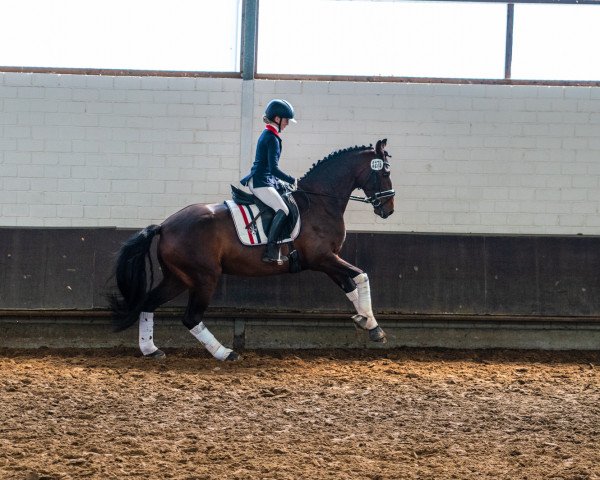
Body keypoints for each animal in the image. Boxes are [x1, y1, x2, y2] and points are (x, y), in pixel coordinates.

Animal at [110, 139, 396, 360]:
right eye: (384, 174)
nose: (389, 210)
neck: (320, 202)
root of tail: (165, 225)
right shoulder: (323, 258)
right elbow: (361, 275)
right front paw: (371, 324)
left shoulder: (327, 261)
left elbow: (350, 287)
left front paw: (369, 324)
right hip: (204, 278)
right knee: (191, 317)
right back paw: (225, 353)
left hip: (178, 278)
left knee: (149, 303)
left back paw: (151, 350)